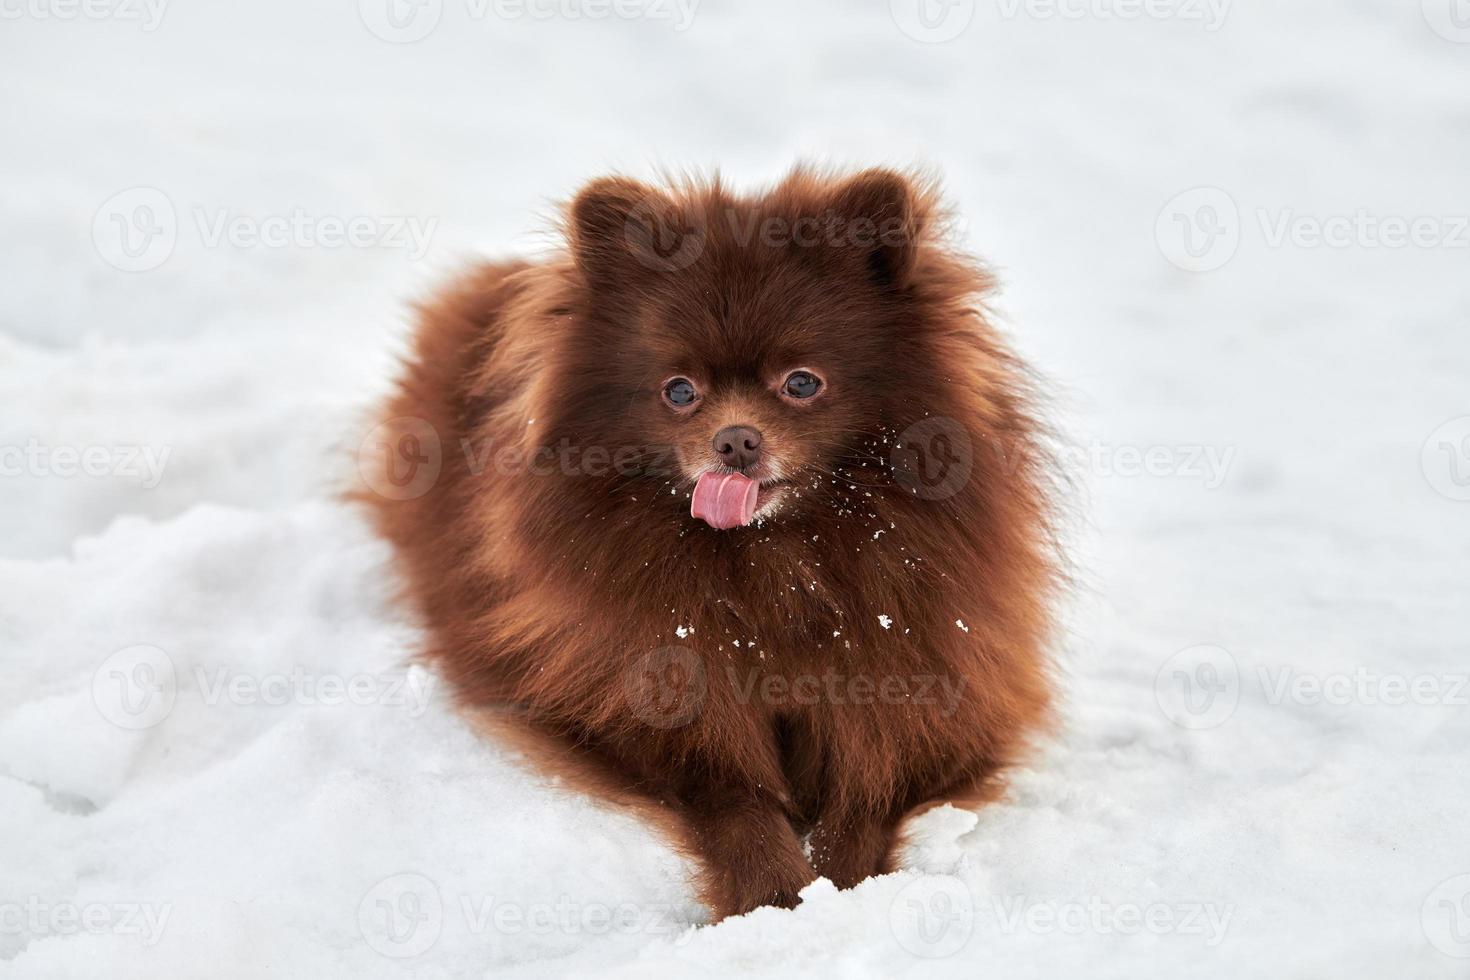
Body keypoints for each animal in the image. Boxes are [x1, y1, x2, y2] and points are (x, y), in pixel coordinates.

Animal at [366, 166, 1058, 922]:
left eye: (802, 382)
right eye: (679, 391)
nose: (735, 440)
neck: (776, 564)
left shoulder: (928, 693)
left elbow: (868, 796)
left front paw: (841, 888)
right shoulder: (635, 695)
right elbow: (732, 796)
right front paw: (774, 892)